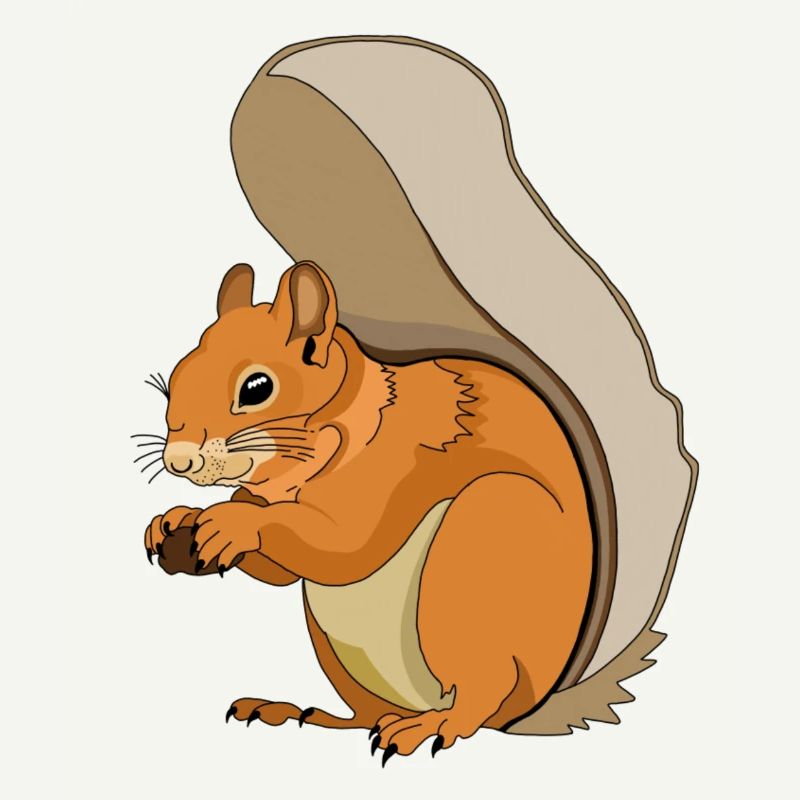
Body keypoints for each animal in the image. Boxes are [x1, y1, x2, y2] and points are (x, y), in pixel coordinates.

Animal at [140, 35, 697, 763]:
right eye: (174, 376)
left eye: (256, 388)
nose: (179, 461)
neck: (313, 448)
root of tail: (541, 703)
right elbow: (283, 569)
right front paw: (175, 521)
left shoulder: (396, 462)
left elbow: (344, 544)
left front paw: (232, 522)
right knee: (366, 712)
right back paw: (302, 713)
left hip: (477, 553)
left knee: (480, 697)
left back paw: (432, 727)